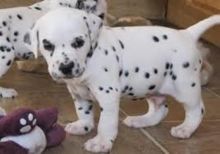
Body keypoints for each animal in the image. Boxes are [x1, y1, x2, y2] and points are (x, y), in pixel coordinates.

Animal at [24, 8, 220, 153]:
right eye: (47, 45)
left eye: (79, 42)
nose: (66, 67)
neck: (91, 56)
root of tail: (186, 33)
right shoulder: (78, 93)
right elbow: (83, 112)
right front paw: (83, 126)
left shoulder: (108, 96)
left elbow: (106, 122)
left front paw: (101, 142)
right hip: (152, 86)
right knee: (160, 109)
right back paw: (141, 120)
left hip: (185, 87)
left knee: (197, 110)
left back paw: (185, 128)